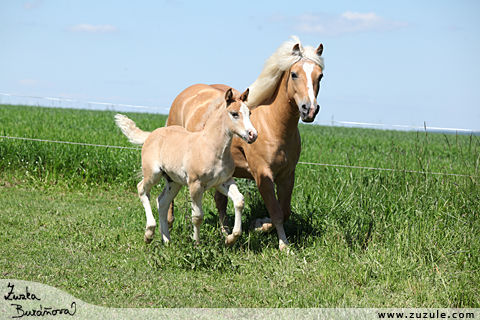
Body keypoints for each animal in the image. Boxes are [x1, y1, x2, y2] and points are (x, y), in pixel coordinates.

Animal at [115, 89, 256, 246]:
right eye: (234, 113)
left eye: (249, 113)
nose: (252, 135)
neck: (211, 147)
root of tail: (151, 134)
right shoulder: (195, 184)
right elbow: (198, 216)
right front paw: (196, 244)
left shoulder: (223, 182)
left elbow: (239, 201)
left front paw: (230, 238)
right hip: (153, 174)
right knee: (142, 189)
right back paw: (149, 233)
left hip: (174, 181)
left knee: (162, 202)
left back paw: (167, 241)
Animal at [167, 37, 324, 250]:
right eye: (294, 74)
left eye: (320, 76)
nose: (309, 109)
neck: (273, 124)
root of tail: (185, 93)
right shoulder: (263, 175)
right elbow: (276, 212)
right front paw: (283, 245)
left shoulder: (287, 176)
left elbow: (285, 211)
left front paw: (258, 225)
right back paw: (169, 224)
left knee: (220, 201)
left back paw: (225, 232)